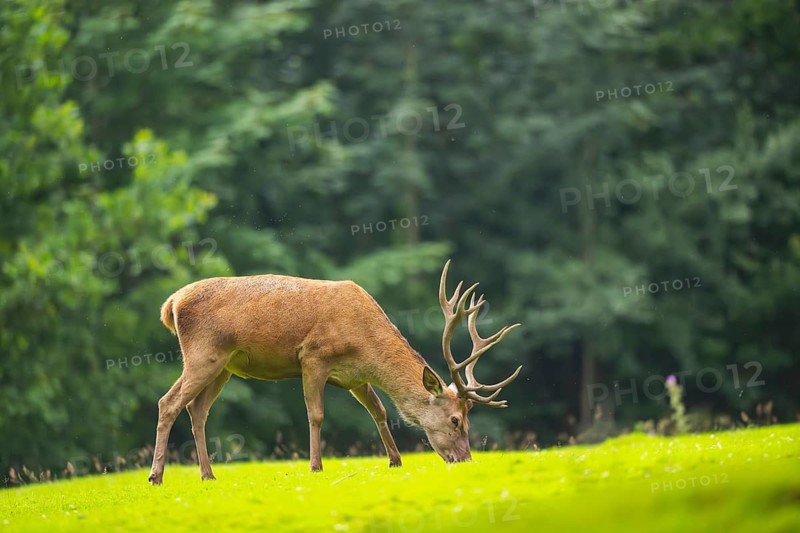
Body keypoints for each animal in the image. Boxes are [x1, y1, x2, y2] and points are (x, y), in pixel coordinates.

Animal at [148, 260, 522, 484]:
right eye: (456, 420)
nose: (465, 460)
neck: (364, 343)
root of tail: (171, 304)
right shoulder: (314, 356)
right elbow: (316, 414)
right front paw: (316, 466)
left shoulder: (356, 378)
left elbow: (380, 411)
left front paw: (395, 461)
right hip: (204, 352)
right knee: (168, 402)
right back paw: (156, 475)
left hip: (225, 364)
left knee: (196, 409)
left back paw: (207, 475)